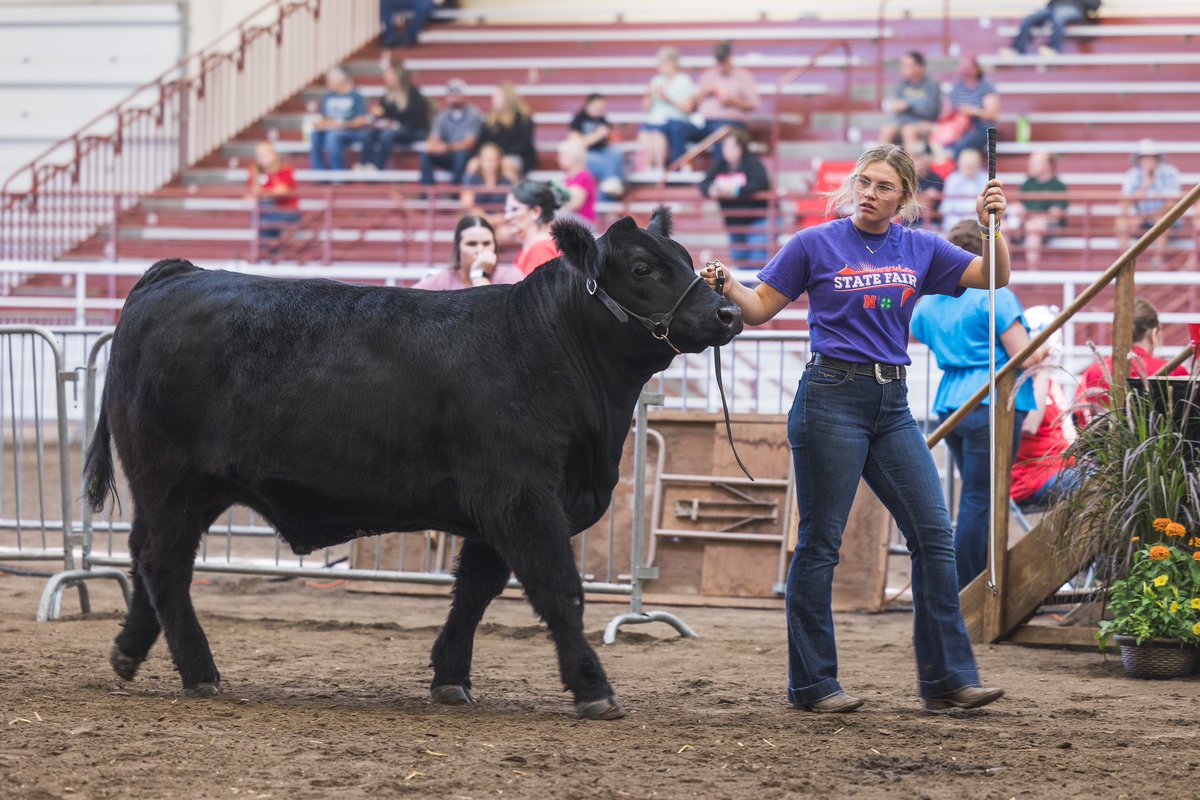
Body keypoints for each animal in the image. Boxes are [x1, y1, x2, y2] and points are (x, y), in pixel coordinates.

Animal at [83, 208, 742, 720]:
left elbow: (475, 590)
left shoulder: (499, 511)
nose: (727, 313)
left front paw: (450, 676)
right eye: (642, 269)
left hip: (191, 488)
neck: (544, 347)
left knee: (146, 554)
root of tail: (179, 272)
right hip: (168, 477)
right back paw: (200, 670)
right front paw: (592, 686)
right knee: (163, 561)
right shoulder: (522, 498)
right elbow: (559, 590)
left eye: (687, 258)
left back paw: (130, 649)